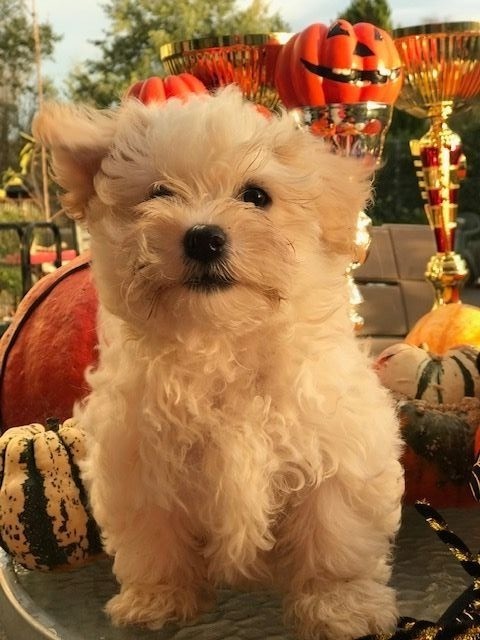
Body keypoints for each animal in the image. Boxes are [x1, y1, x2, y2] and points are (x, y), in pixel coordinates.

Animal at [33, 87, 404, 640]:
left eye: (256, 196)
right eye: (158, 193)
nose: (204, 236)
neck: (220, 341)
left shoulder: (337, 452)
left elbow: (334, 538)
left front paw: (341, 607)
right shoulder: (138, 463)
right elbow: (155, 539)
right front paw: (158, 600)